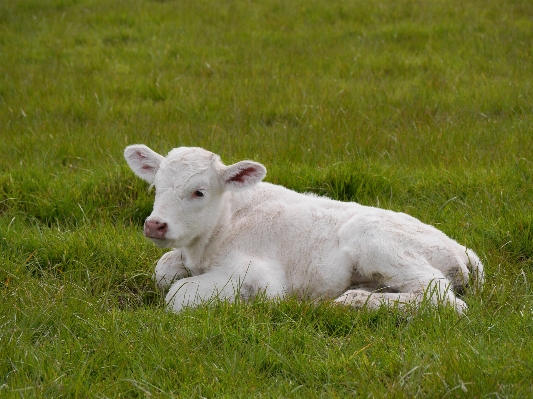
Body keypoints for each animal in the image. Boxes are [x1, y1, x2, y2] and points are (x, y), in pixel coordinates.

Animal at [124, 145, 482, 314]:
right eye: (156, 186)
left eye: (199, 192)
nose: (155, 225)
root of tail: (463, 250)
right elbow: (163, 270)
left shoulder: (258, 274)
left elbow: (177, 295)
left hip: (376, 240)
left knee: (444, 298)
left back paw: (349, 302)